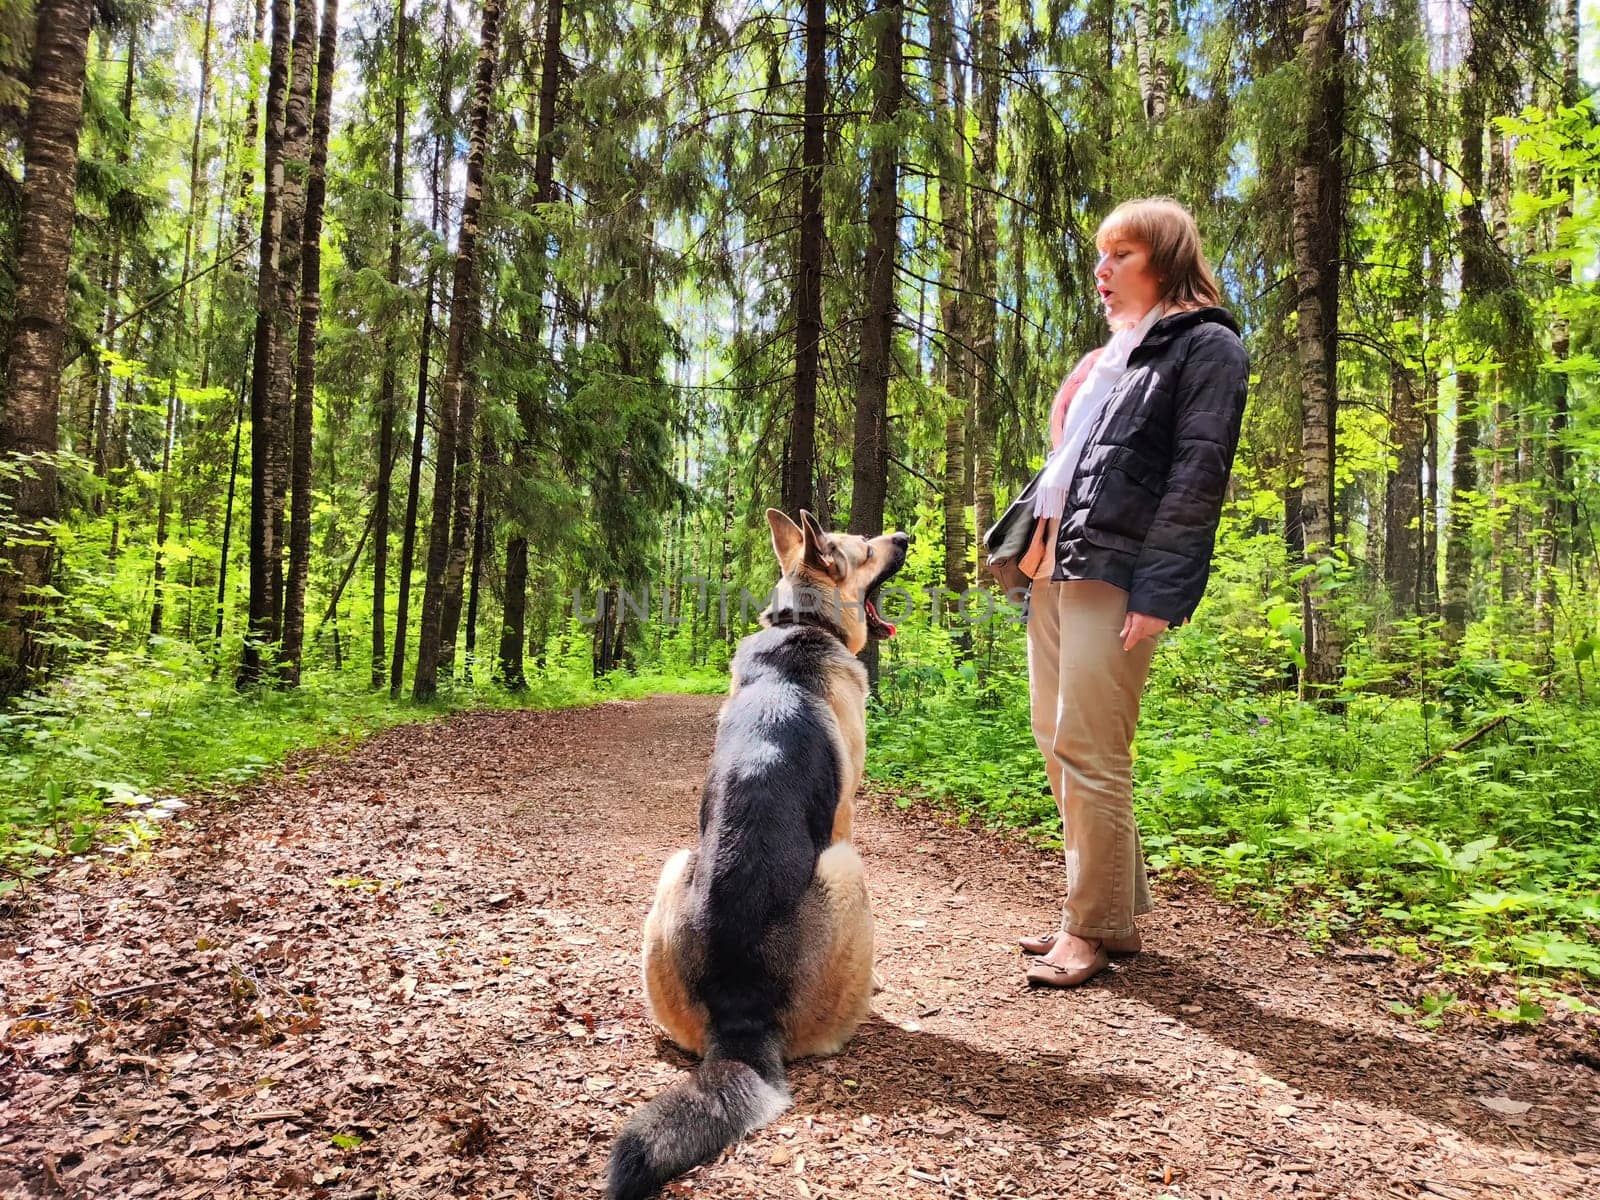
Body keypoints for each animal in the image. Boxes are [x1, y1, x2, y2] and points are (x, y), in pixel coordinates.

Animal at [604, 508, 908, 1200]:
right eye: (865, 548)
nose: (905, 536)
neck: (804, 624)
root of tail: (739, 1016)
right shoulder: (846, 819)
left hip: (674, 865)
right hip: (847, 870)